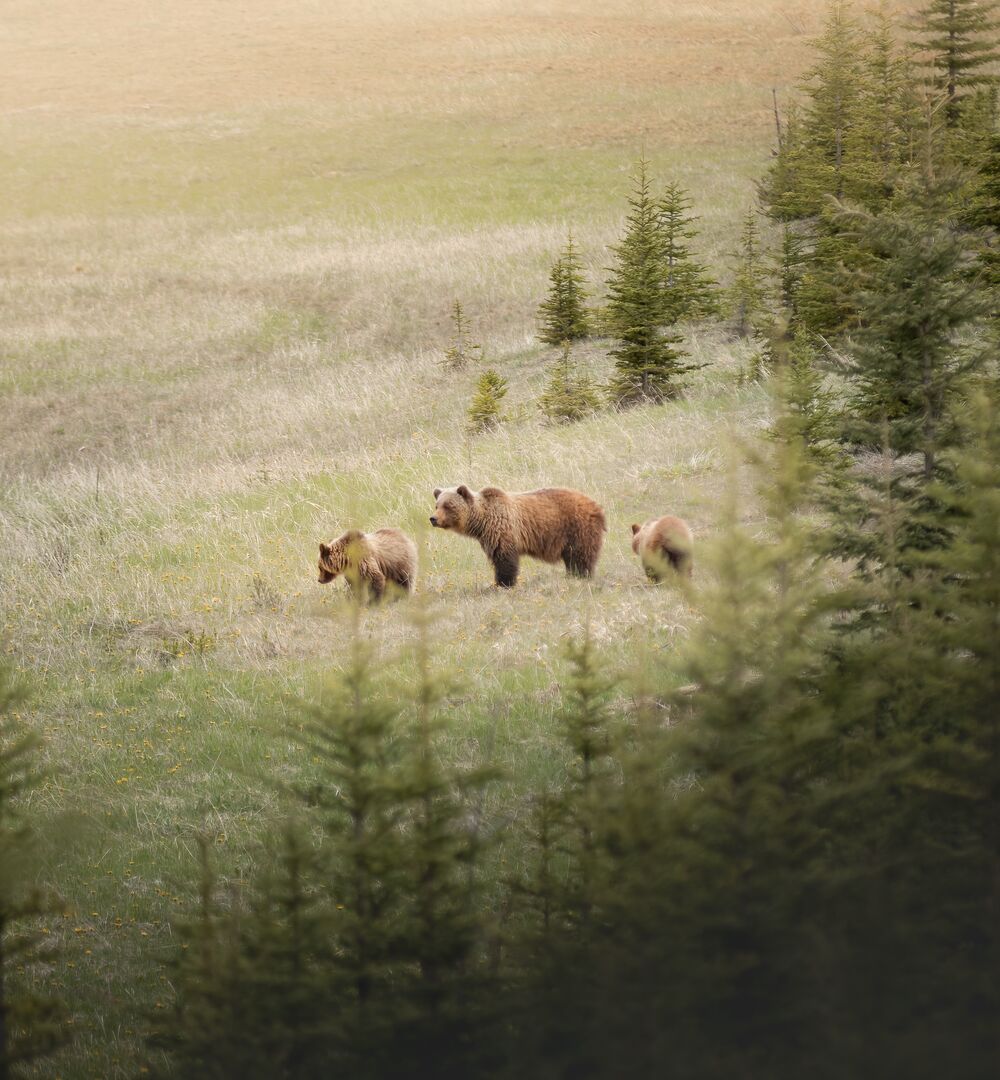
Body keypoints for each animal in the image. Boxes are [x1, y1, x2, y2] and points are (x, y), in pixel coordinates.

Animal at [430, 485, 606, 587]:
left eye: (448, 505)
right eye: (437, 505)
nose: (433, 518)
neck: (482, 521)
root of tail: (596, 505)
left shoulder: (503, 531)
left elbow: (505, 560)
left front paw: (503, 583)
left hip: (577, 527)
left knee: (581, 556)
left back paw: (580, 575)